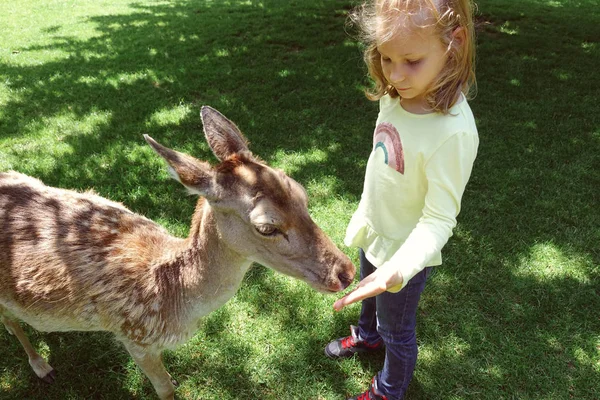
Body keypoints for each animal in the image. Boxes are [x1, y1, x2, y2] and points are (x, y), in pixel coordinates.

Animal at [0, 104, 356, 398]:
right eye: (267, 227)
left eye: (300, 193)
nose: (345, 272)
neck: (174, 297)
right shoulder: (134, 336)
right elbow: (166, 389)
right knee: (10, 321)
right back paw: (41, 366)